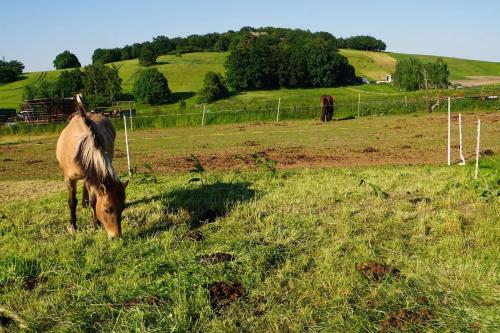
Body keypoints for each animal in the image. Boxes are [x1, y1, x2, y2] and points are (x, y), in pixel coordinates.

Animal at [55, 94, 128, 239]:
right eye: (107, 209)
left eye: (123, 208)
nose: (116, 236)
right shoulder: (69, 179)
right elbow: (72, 202)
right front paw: (73, 226)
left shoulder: (92, 178)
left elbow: (94, 200)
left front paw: (96, 224)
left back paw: (85, 203)